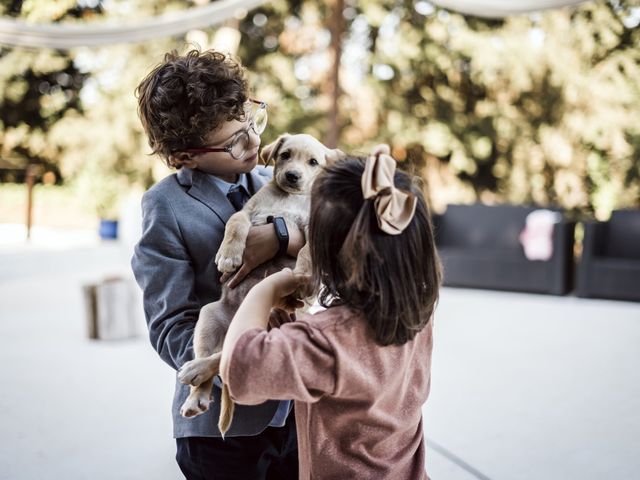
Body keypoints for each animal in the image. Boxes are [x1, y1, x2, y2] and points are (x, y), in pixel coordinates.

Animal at [178, 132, 342, 436]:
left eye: (313, 162)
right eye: (285, 155)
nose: (292, 176)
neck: (289, 199)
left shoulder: (315, 230)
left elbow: (306, 251)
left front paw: (303, 275)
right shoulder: (248, 212)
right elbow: (235, 224)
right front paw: (229, 255)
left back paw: (195, 372)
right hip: (209, 316)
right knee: (218, 357)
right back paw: (196, 394)